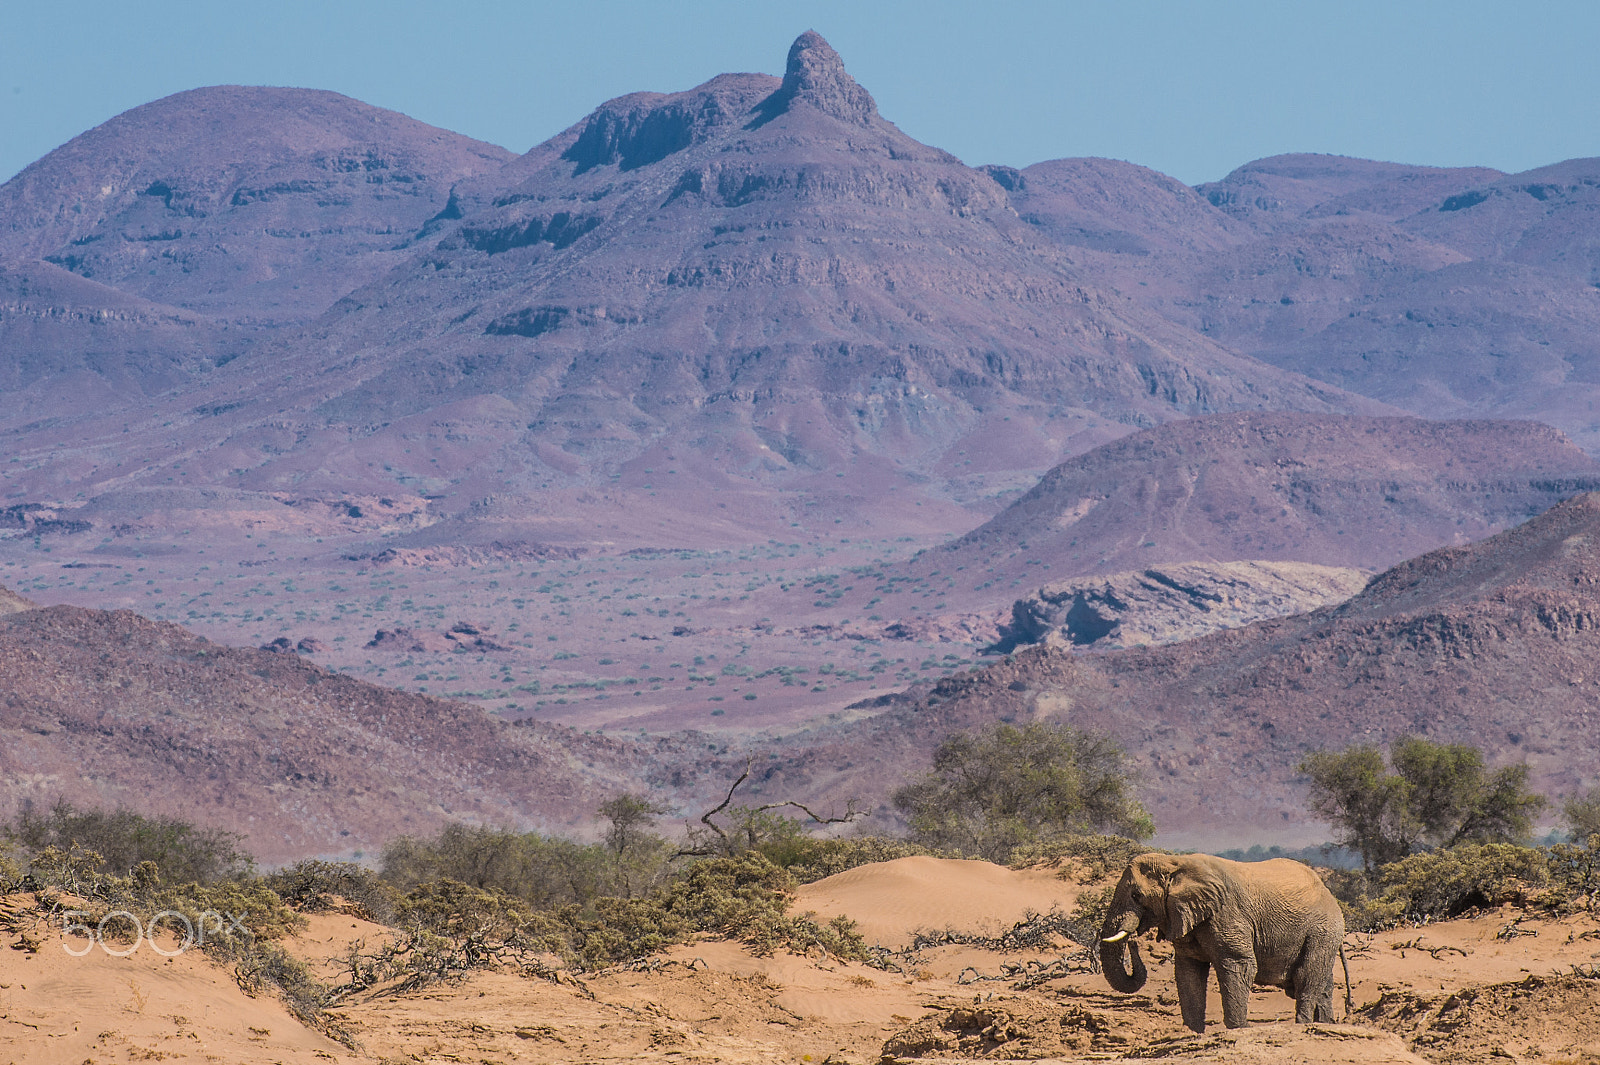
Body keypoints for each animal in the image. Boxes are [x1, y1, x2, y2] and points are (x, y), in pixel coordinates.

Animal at [1098, 852, 1345, 1032]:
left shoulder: (1226, 913)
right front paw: (1194, 1033)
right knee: (1322, 982)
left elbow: (1239, 964)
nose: (1133, 941)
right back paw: (1324, 1023)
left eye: (1136, 896)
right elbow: (1188, 970)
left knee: (1306, 976)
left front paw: (1240, 1028)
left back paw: (1303, 1023)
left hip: (1322, 930)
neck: (1176, 862)